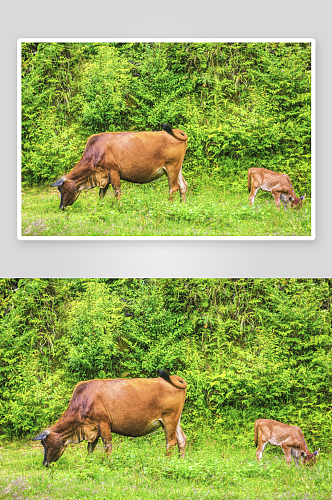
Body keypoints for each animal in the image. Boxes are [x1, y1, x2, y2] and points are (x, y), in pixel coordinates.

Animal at [33, 370, 187, 466]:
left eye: (44, 444)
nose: (44, 463)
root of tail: (174, 377)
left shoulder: (103, 423)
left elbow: (107, 445)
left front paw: (109, 463)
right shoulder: (92, 429)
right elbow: (90, 448)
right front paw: (88, 463)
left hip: (169, 419)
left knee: (170, 442)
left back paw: (167, 462)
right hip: (175, 420)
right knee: (182, 439)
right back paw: (181, 462)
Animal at [50, 123, 188, 209]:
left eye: (61, 189)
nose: (61, 207)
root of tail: (176, 131)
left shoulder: (113, 171)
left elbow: (117, 191)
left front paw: (119, 207)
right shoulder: (104, 176)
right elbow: (101, 193)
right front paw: (99, 207)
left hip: (172, 167)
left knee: (173, 188)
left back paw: (169, 206)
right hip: (177, 168)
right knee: (183, 185)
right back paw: (182, 206)